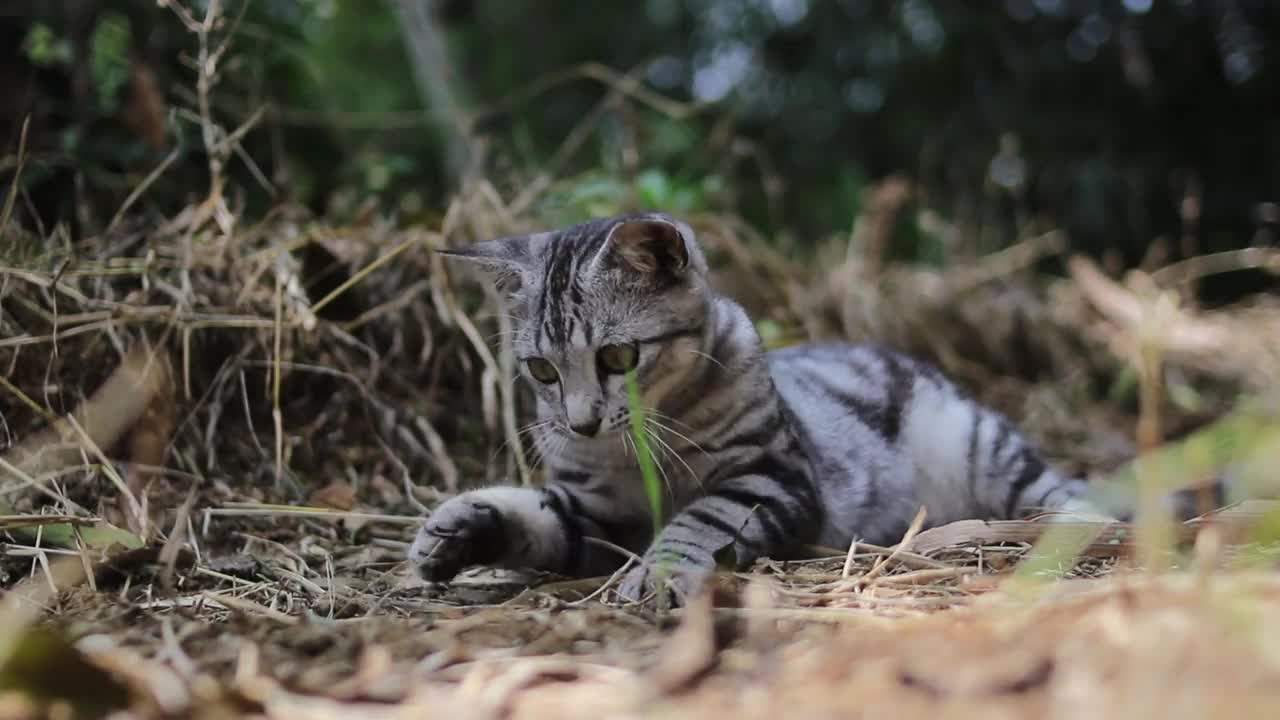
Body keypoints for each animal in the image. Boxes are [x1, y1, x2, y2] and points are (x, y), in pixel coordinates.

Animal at [412, 210, 1121, 602]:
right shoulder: (594, 514)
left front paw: (662, 572)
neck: (637, 452)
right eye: (541, 370)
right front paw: (454, 527)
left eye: (617, 358)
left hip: (980, 444)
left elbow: (701, 518)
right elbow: (533, 514)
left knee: (1067, 494)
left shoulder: (771, 475)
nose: (581, 423)